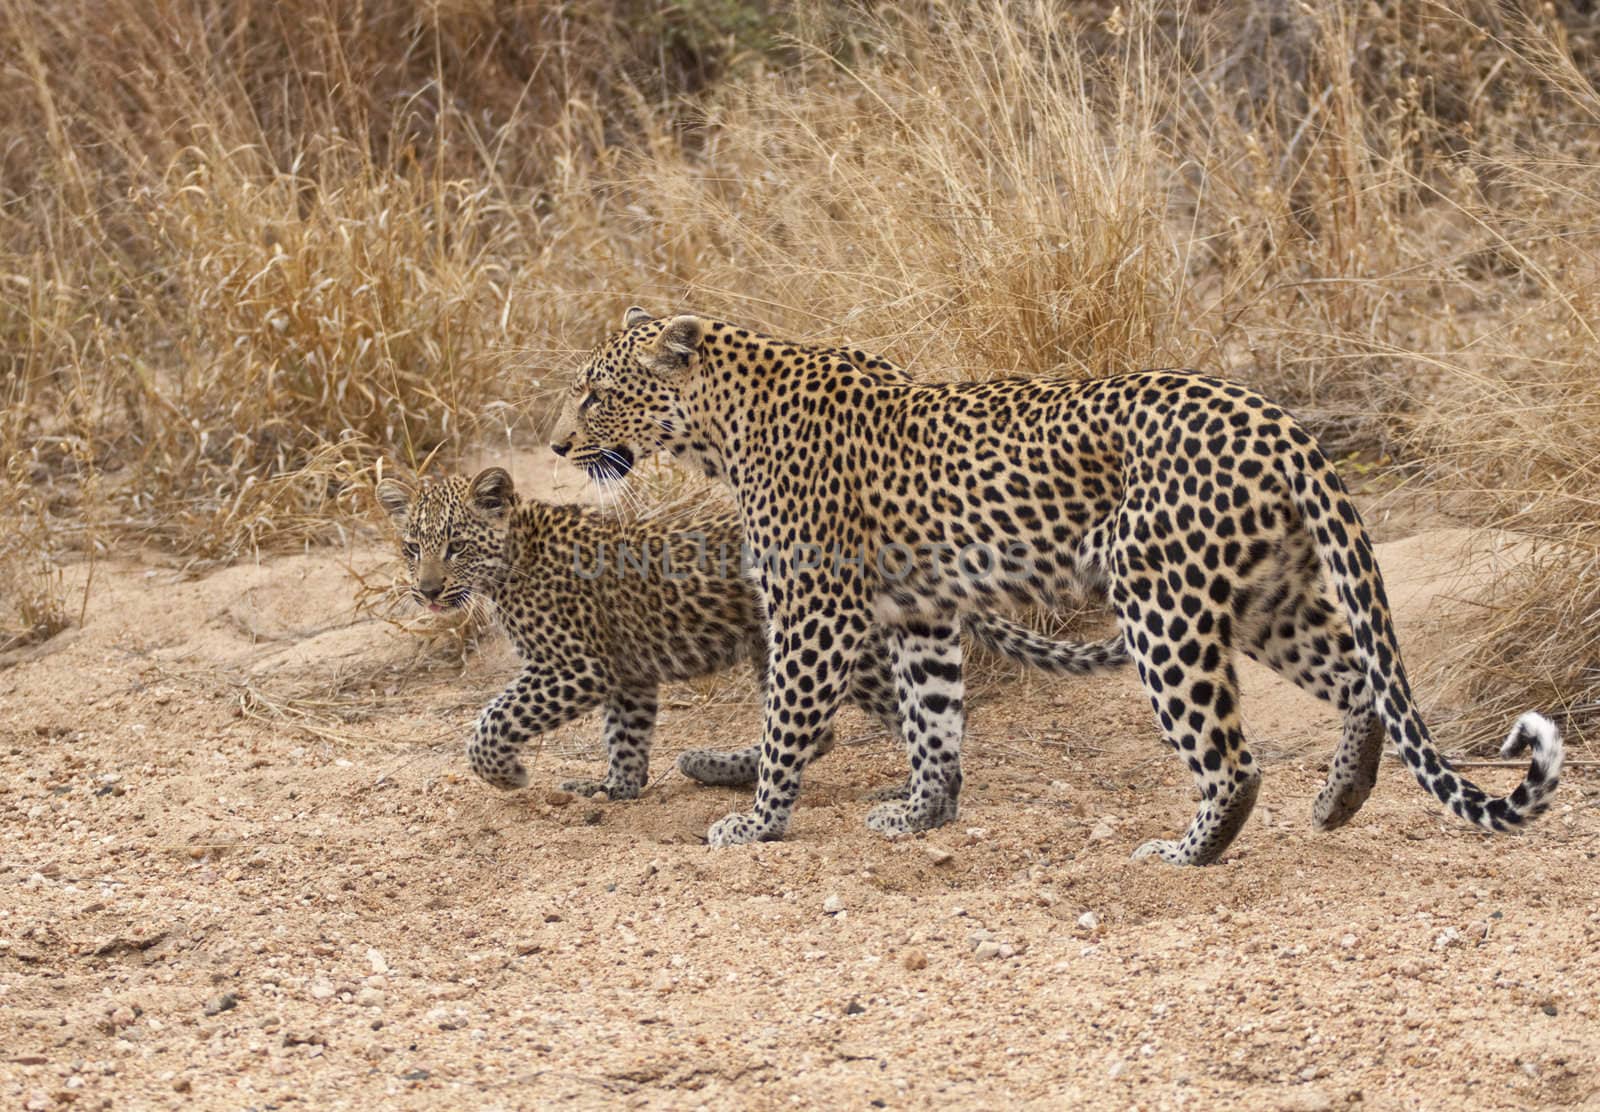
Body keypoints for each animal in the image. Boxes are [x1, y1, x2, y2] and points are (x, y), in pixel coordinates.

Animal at [550, 308, 1561, 864]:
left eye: (596, 392)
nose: (557, 447)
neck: (721, 425)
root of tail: (1273, 416)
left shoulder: (815, 610)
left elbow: (787, 723)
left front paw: (757, 823)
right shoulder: (921, 612)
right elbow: (934, 721)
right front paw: (923, 812)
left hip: (1163, 602)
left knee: (1232, 760)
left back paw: (1185, 854)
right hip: (1266, 597)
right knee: (1361, 684)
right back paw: (1340, 799)